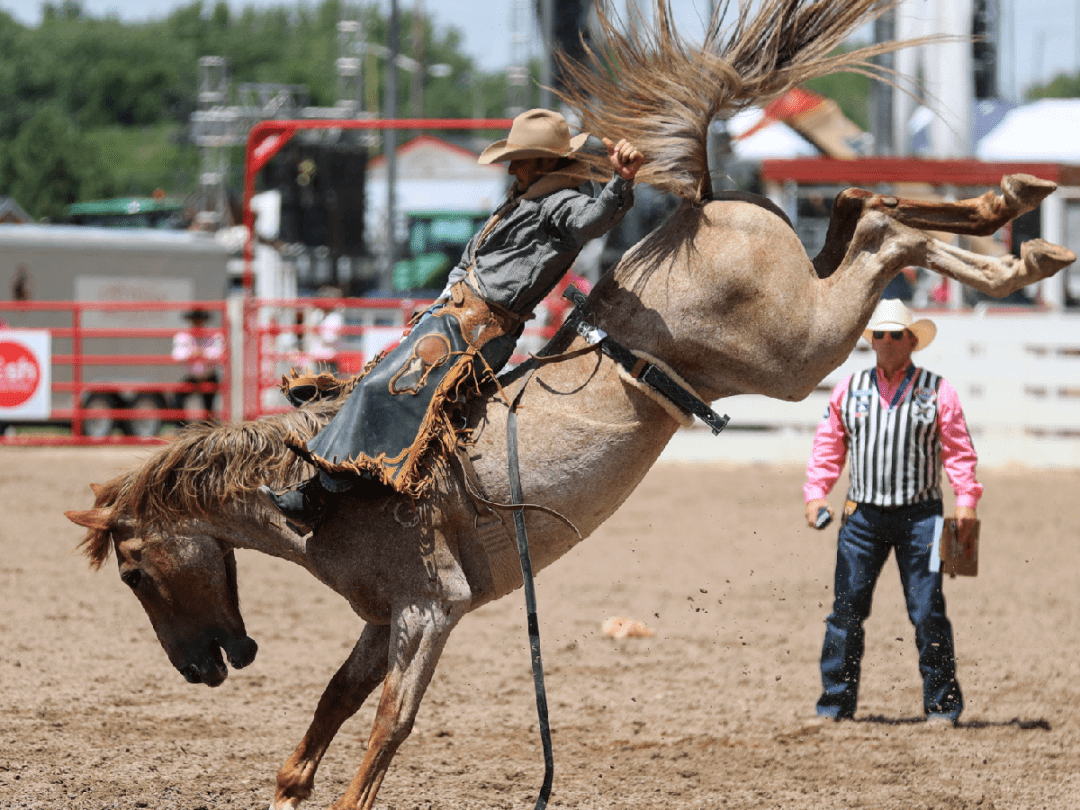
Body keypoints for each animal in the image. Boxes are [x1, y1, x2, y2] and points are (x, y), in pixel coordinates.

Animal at [67, 1, 1071, 810]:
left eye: (134, 572)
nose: (204, 667)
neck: (325, 492)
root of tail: (700, 205)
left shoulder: (430, 610)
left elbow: (386, 727)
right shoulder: (384, 619)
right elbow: (332, 709)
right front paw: (288, 784)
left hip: (799, 347)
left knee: (881, 232)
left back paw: (1018, 228)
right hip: (801, 327)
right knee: (868, 215)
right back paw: (1016, 223)